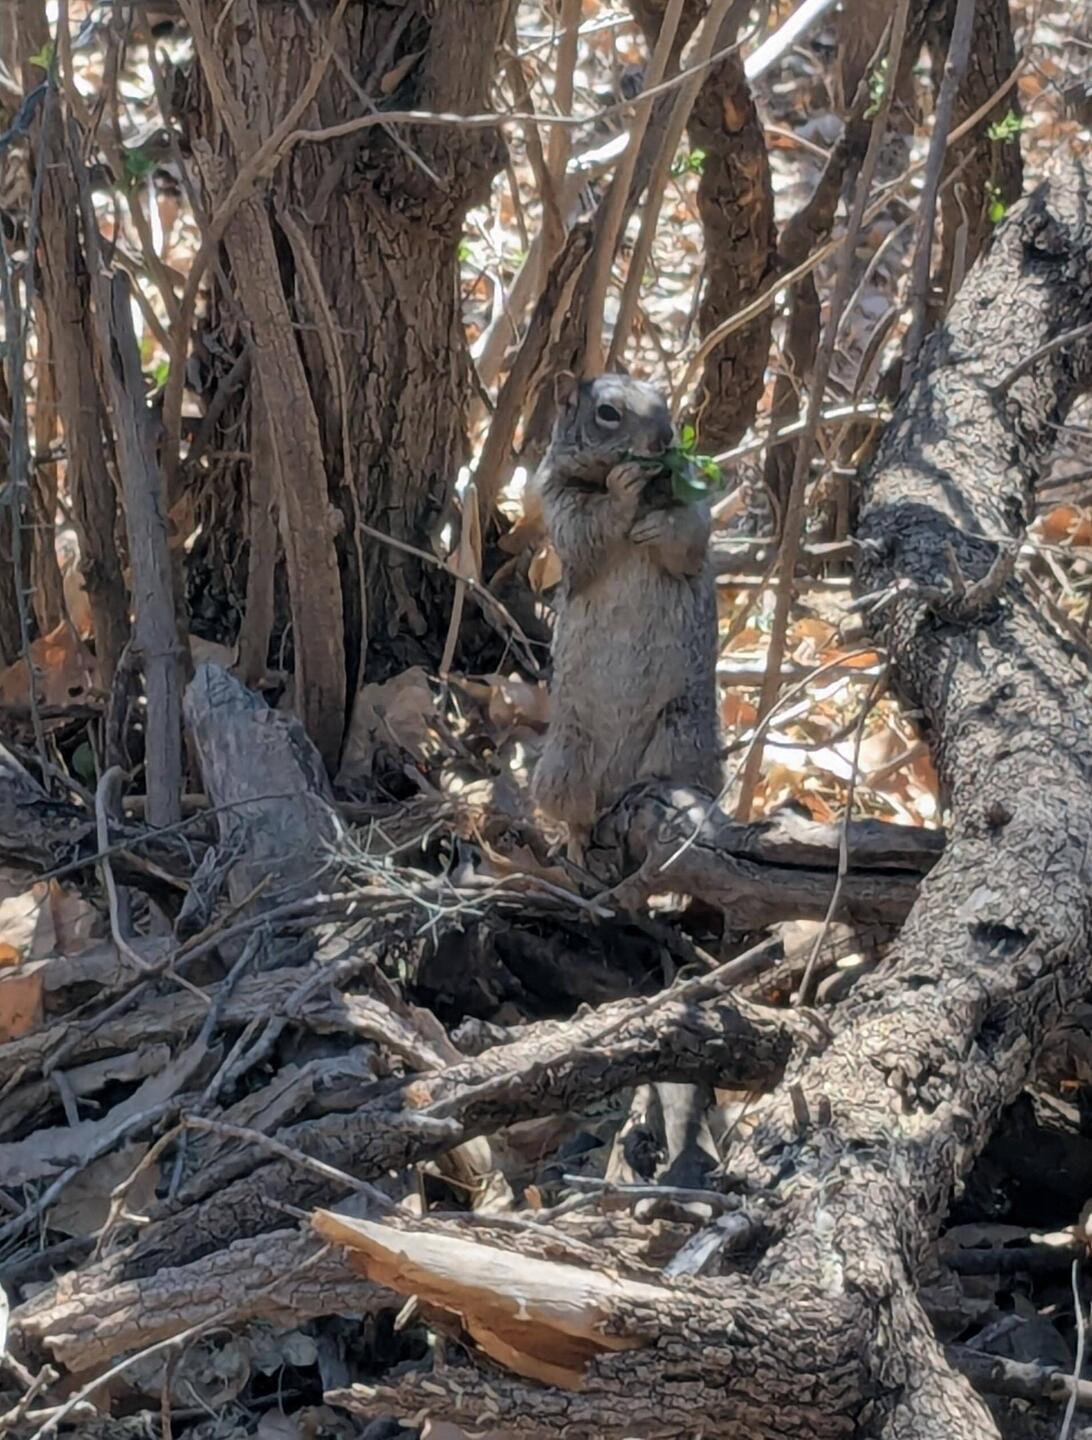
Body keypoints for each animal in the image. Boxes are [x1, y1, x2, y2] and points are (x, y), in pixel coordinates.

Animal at [530, 371, 722, 855]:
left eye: (663, 399)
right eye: (607, 412)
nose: (665, 436)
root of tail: (614, 783)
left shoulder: (691, 497)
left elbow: (689, 535)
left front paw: (659, 527)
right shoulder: (560, 502)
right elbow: (587, 531)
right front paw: (622, 487)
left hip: (683, 732)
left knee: (670, 777)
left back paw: (652, 789)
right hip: (565, 761)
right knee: (577, 812)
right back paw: (575, 841)